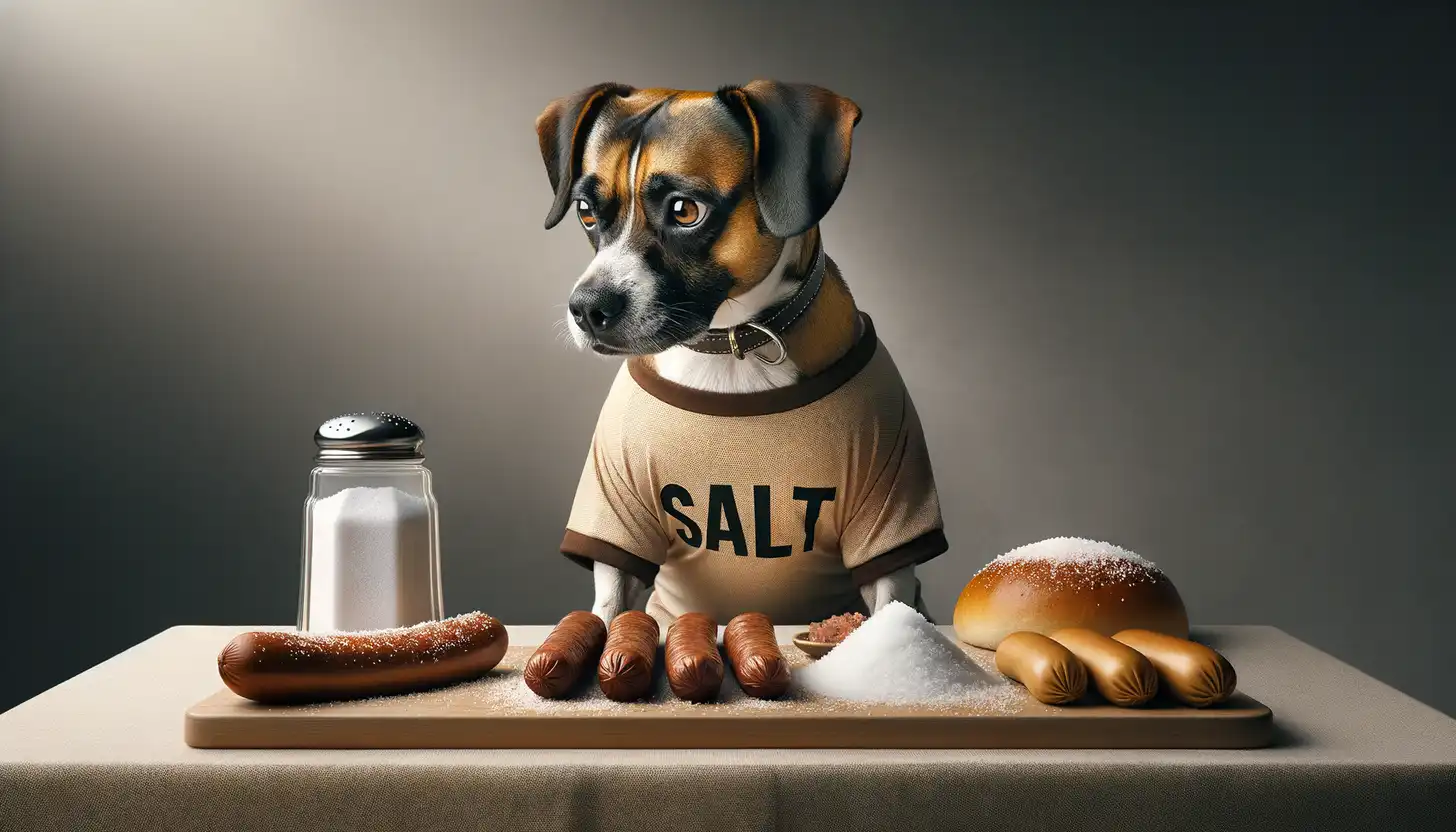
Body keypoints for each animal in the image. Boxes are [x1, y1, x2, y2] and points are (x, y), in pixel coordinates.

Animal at [535, 83, 943, 632]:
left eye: (685, 210)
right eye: (585, 210)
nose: (587, 308)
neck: (731, 345)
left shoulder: (888, 518)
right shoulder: (616, 517)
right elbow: (610, 603)